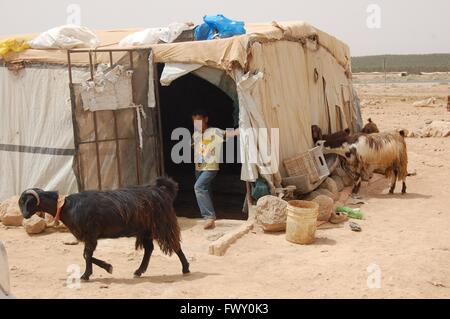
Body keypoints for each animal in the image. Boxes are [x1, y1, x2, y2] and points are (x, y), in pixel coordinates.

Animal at [17, 179, 189, 282]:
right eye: (20, 202)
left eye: (27, 202)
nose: (24, 215)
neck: (67, 207)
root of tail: (161, 190)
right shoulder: (89, 236)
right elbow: (87, 255)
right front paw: (106, 267)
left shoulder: (91, 234)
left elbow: (87, 255)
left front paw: (86, 275)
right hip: (145, 229)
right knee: (149, 249)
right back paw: (138, 271)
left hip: (162, 224)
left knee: (175, 244)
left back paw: (186, 268)